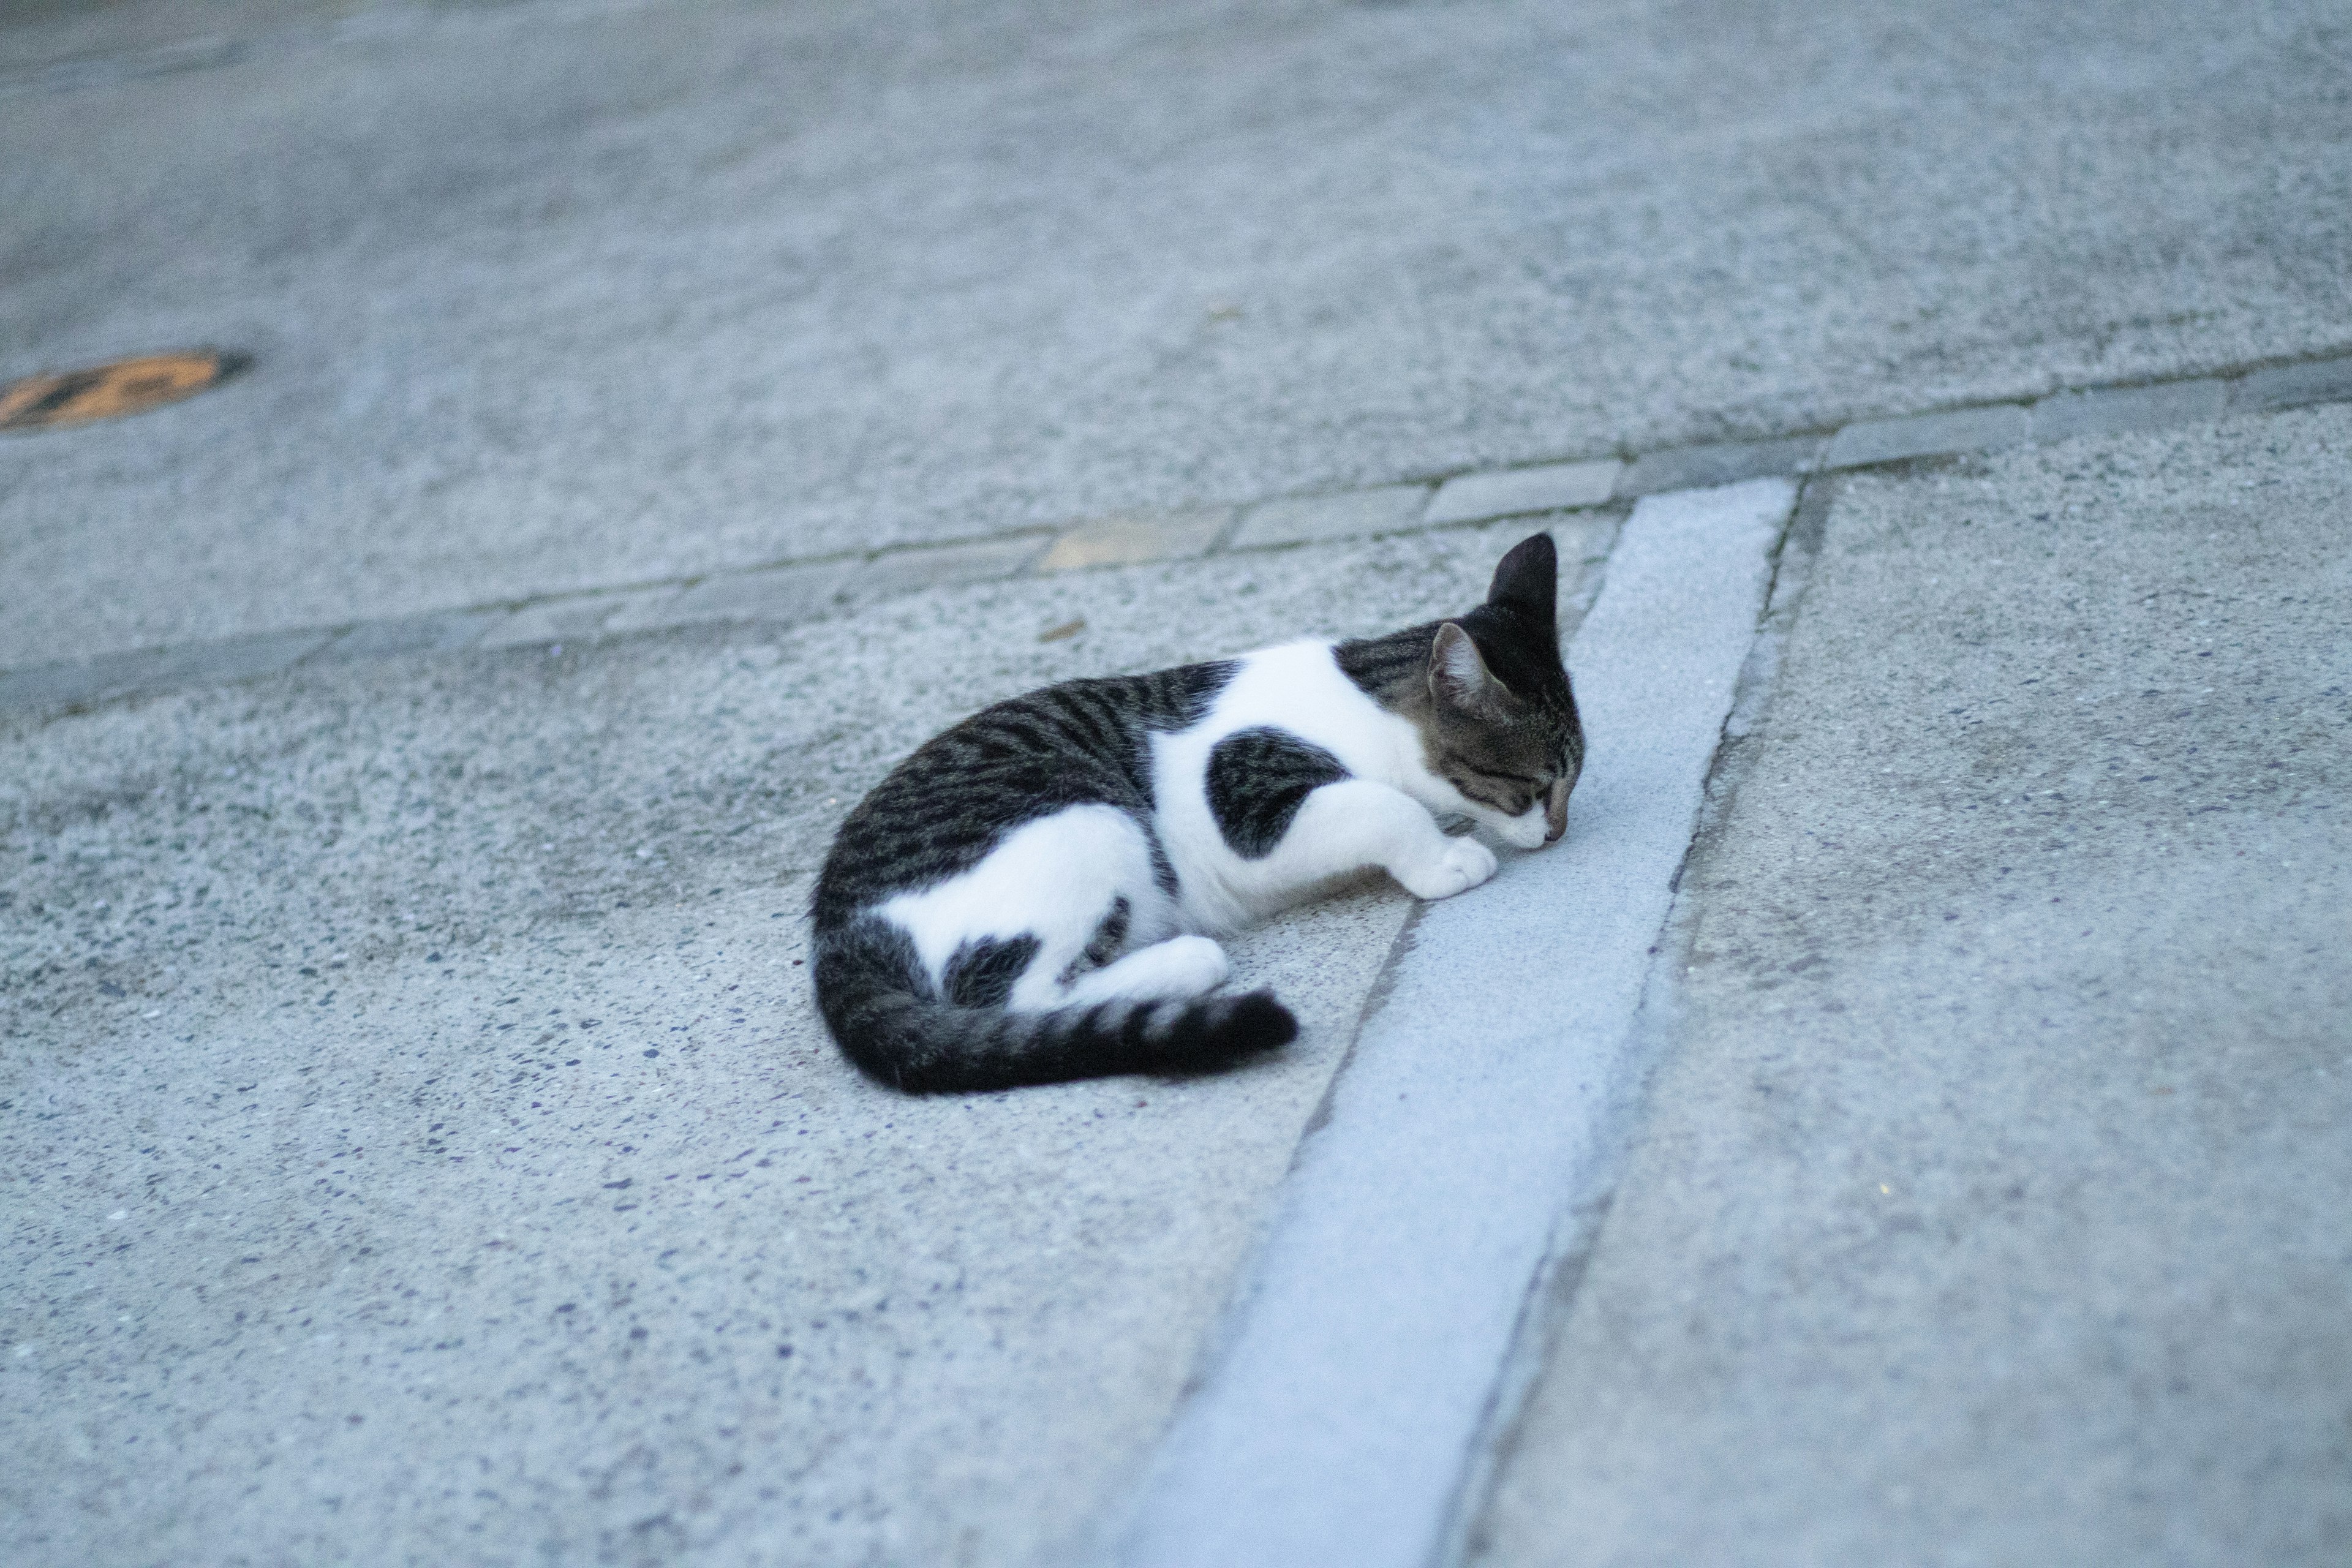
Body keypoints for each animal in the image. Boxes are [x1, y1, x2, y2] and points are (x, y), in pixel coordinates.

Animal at [809, 531, 1580, 1090]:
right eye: (1535, 784)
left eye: (1573, 779)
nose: (1556, 832)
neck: (1362, 702)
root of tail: (835, 927)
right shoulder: (1246, 803)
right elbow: (1383, 806)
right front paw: (1445, 857)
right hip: (1087, 819)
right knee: (1015, 997)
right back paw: (1186, 960)